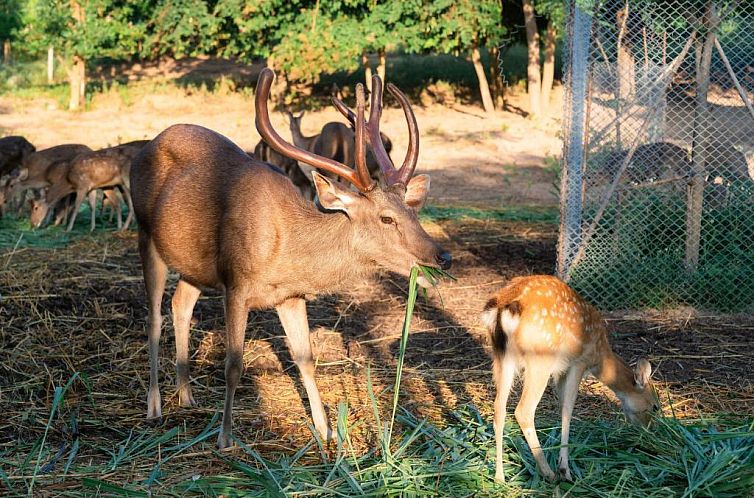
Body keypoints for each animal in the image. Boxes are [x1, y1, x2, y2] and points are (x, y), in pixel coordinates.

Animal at [130, 68, 450, 450]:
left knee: (181, 304)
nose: (442, 256)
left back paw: (186, 395)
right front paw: (225, 437)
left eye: (413, 210)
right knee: (153, 317)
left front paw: (327, 431)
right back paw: (154, 405)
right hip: (146, 234)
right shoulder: (236, 283)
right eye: (386, 218)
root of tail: (147, 145)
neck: (286, 253)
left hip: (194, 264)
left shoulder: (291, 296)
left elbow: (306, 358)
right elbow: (234, 364)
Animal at [482, 274, 652, 480]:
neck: (601, 356)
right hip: (540, 359)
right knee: (523, 410)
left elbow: (562, 405)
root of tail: (503, 307)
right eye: (655, 406)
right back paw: (548, 472)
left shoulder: (561, 371)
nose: (650, 430)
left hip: (501, 356)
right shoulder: (578, 363)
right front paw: (565, 469)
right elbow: (567, 410)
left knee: (499, 408)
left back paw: (500, 477)